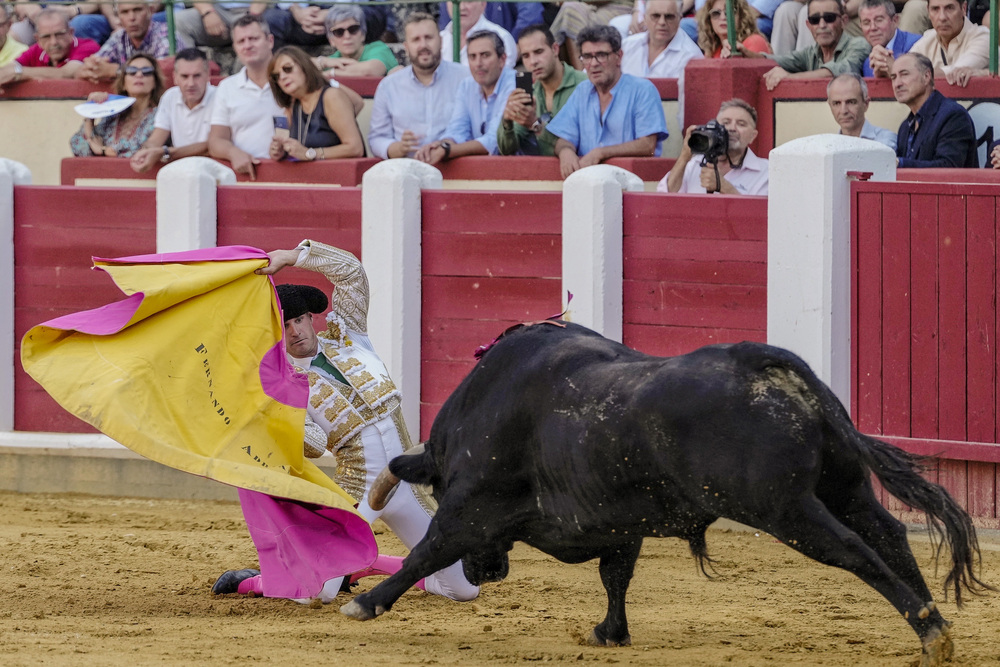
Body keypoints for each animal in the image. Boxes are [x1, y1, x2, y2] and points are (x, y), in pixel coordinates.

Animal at [344, 322, 992, 664]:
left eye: (440, 483)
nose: (490, 573)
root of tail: (766, 364)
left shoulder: (469, 509)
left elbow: (426, 550)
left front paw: (366, 603)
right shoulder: (616, 521)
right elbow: (616, 577)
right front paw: (609, 632)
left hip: (785, 509)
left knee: (857, 551)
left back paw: (929, 629)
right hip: (844, 488)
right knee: (889, 533)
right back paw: (935, 623)